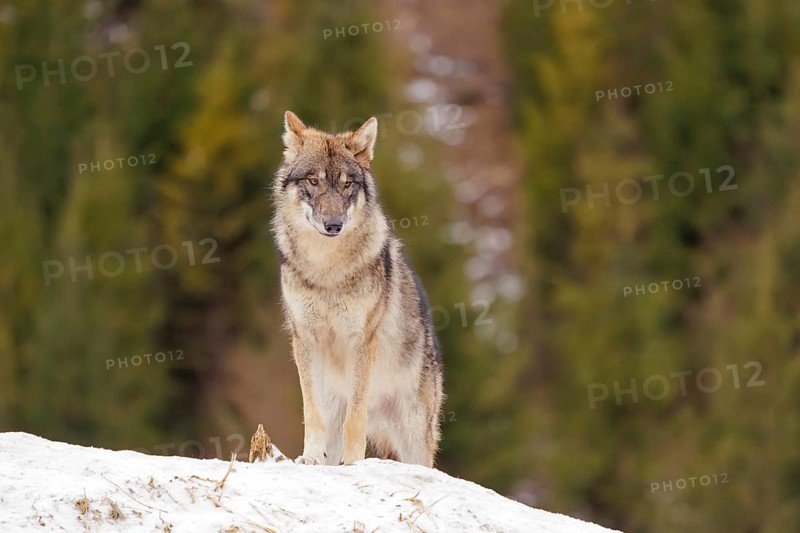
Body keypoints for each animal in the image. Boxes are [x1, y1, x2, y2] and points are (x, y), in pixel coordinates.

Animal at [271, 111, 444, 467]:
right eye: (313, 181)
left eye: (347, 184)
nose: (333, 225)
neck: (326, 270)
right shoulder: (304, 338)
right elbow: (312, 412)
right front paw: (310, 458)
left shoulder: (361, 341)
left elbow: (356, 417)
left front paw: (353, 464)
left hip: (414, 438)